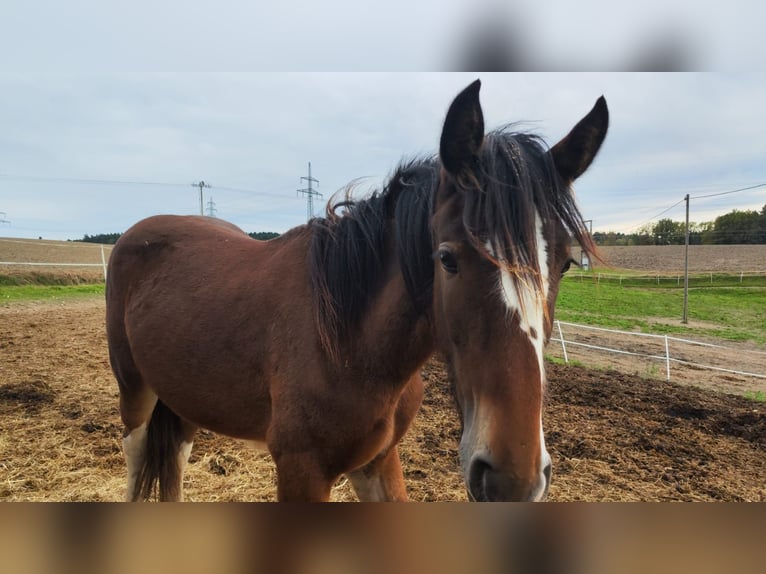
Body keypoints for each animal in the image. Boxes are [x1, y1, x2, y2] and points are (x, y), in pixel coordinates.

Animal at [106, 79, 608, 501]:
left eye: (565, 263)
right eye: (447, 258)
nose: (512, 478)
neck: (350, 346)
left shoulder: (378, 461)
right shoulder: (302, 471)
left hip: (184, 400)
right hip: (135, 393)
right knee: (137, 462)